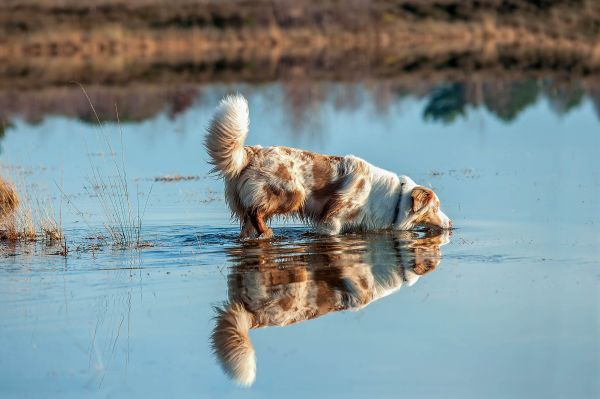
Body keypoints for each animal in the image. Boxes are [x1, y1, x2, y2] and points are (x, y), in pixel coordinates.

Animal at [205, 94, 450, 238]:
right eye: (436, 207)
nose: (450, 223)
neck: (395, 199)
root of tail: (252, 152)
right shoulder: (332, 221)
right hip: (293, 193)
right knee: (255, 212)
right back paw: (267, 232)